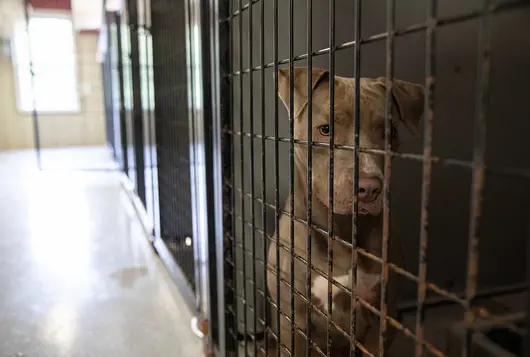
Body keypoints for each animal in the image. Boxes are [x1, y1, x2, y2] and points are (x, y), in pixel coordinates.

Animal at [264, 67, 424, 356]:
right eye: (325, 129)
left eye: (389, 132)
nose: (369, 188)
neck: (342, 229)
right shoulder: (292, 321)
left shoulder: (382, 321)